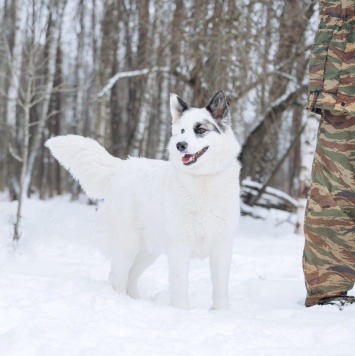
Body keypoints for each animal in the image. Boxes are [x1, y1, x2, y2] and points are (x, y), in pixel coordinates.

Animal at [46, 91, 241, 308]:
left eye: (200, 130)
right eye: (181, 131)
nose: (180, 145)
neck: (203, 180)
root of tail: (121, 167)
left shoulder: (222, 247)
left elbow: (220, 290)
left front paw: (221, 312)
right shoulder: (180, 247)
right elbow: (180, 288)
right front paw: (183, 312)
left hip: (148, 251)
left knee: (130, 277)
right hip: (128, 245)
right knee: (117, 277)